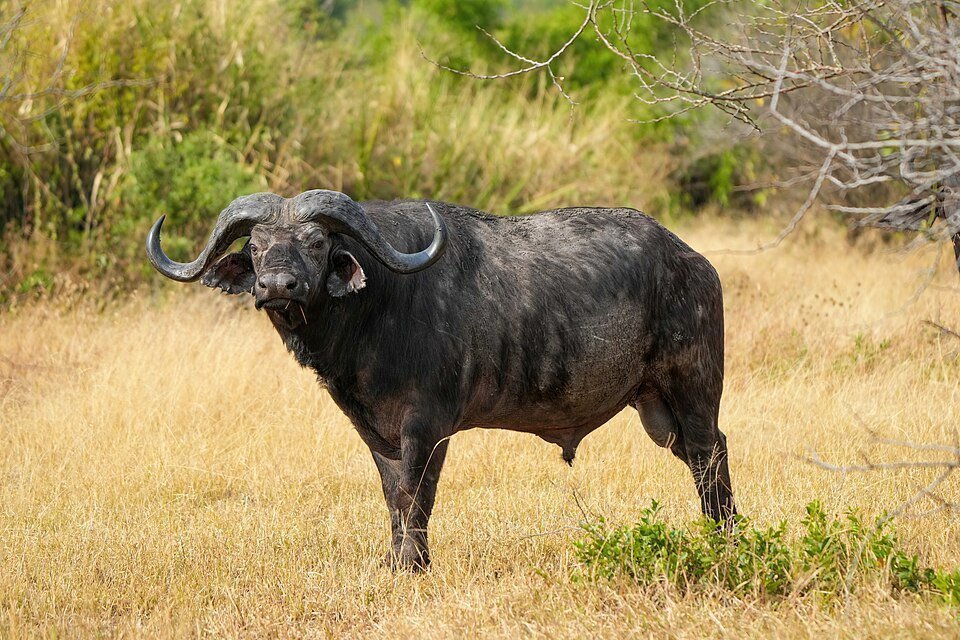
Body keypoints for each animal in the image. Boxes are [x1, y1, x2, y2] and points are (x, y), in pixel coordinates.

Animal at [147, 189, 736, 570]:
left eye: (316, 243)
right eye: (256, 245)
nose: (276, 285)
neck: (377, 305)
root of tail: (693, 262)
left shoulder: (427, 428)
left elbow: (417, 496)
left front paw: (415, 567)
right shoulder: (377, 434)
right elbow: (393, 497)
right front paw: (395, 564)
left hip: (695, 391)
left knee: (711, 456)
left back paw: (724, 540)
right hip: (658, 413)